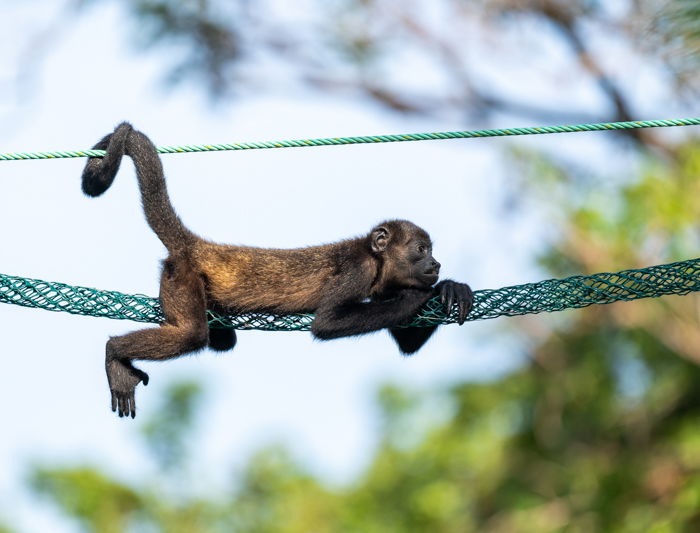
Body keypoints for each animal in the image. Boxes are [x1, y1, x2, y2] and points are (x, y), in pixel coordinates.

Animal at [83, 122, 476, 418]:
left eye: (431, 251)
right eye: (421, 249)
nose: (436, 264)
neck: (377, 260)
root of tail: (195, 245)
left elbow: (406, 343)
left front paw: (450, 288)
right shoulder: (357, 270)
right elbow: (327, 323)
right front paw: (421, 295)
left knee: (220, 340)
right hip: (181, 276)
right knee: (190, 334)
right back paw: (115, 353)